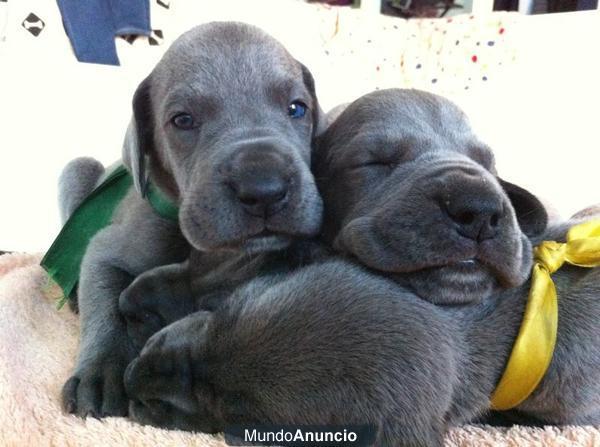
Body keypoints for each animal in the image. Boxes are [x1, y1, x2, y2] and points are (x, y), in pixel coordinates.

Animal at [58, 21, 326, 420]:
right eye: (182, 120)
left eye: (297, 108)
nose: (264, 188)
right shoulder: (103, 248)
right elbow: (103, 307)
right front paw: (100, 372)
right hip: (76, 170)